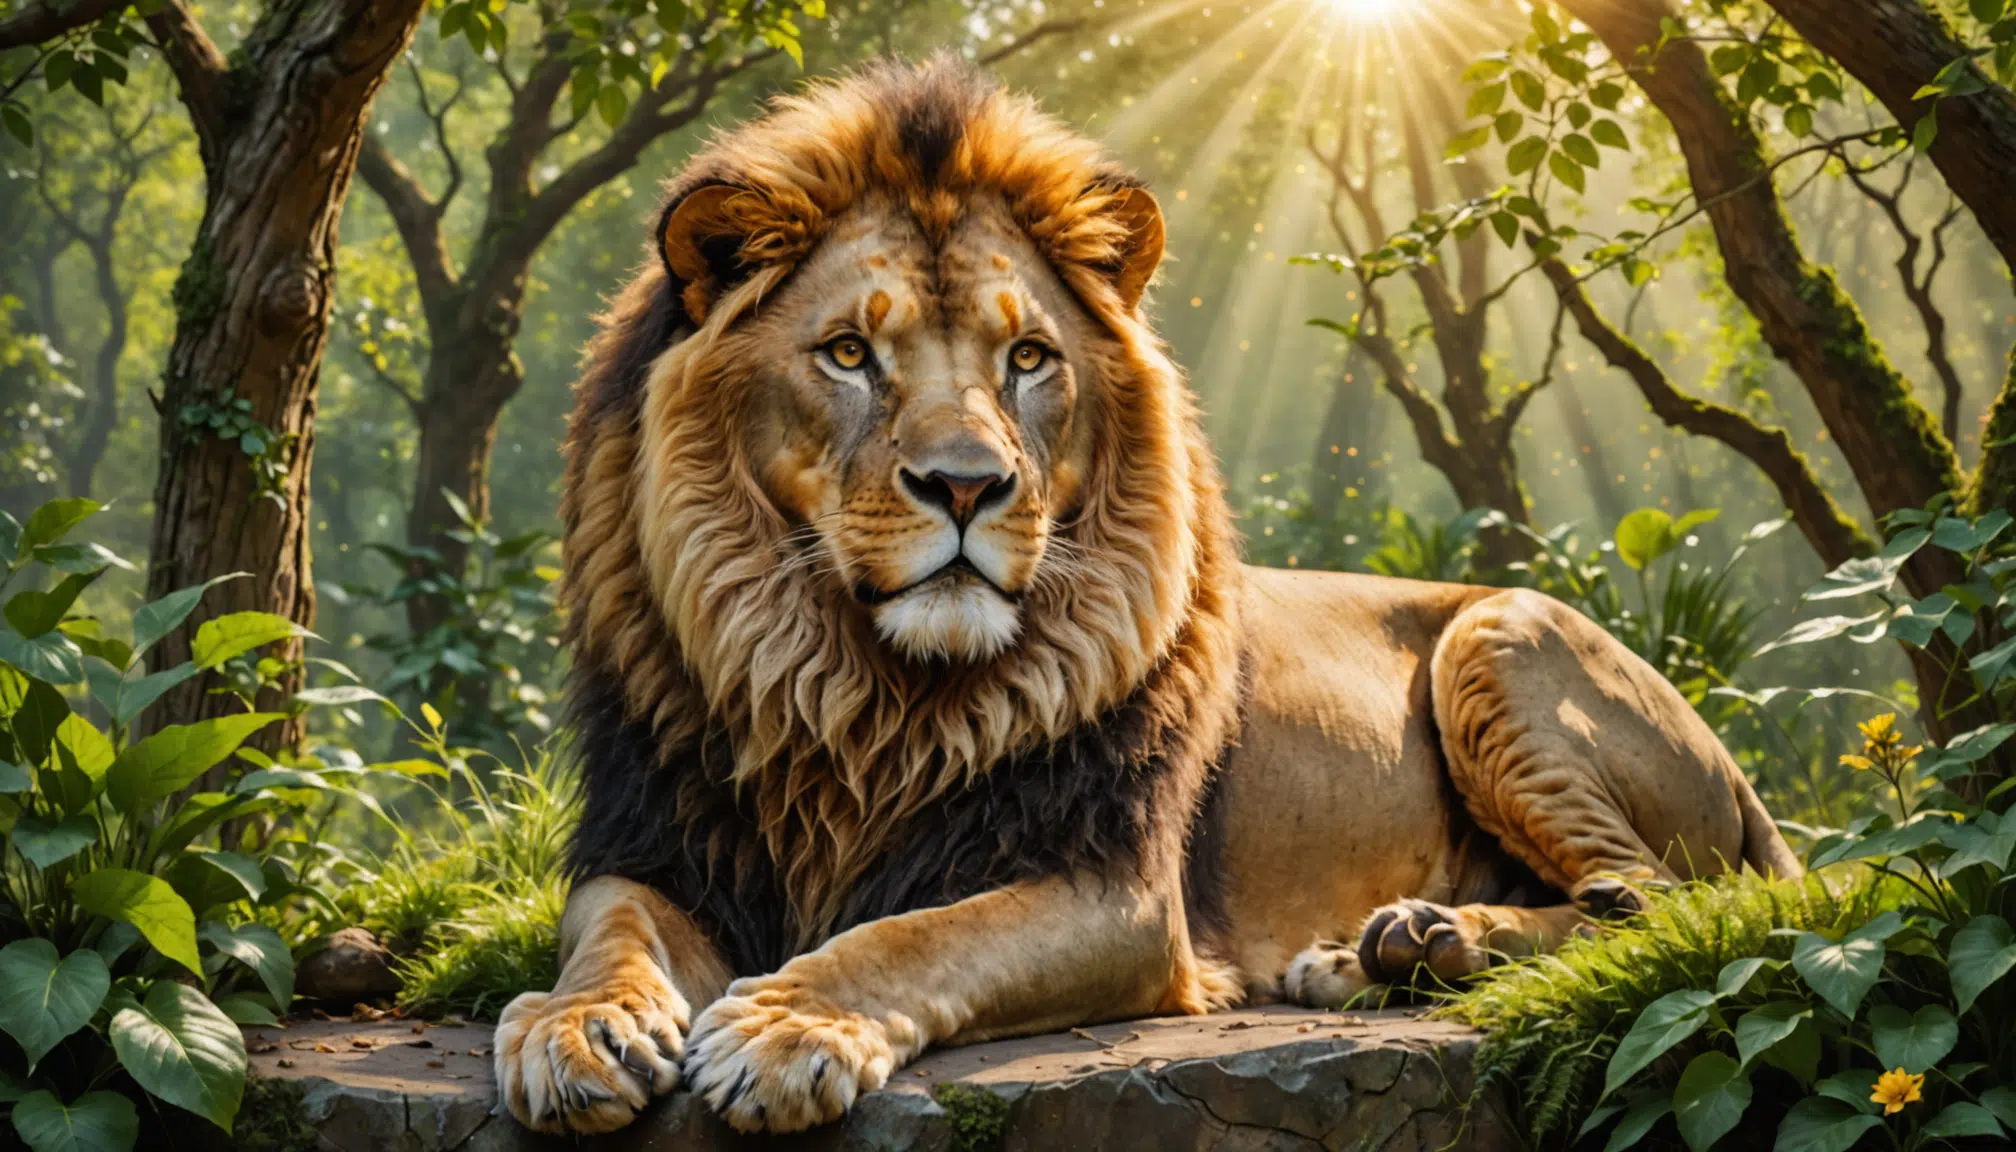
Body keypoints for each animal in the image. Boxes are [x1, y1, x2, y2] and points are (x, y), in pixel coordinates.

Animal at [494, 57, 1800, 1136]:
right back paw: (1383, 951)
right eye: (849, 355)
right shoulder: (654, 839)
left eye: (1028, 360)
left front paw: (785, 1026)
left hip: (1500, 630)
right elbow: (606, 931)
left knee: (1657, 901)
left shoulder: (1114, 890)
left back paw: (1418, 939)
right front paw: (574, 1027)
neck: (864, 697)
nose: (966, 486)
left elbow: (913, 935)